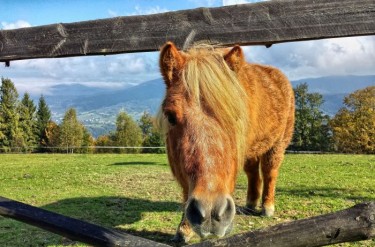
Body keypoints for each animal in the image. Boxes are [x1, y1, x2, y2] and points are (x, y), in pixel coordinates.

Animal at [157, 42, 296, 241]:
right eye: (170, 116)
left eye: (235, 114)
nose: (210, 211)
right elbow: (186, 191)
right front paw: (184, 229)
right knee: (253, 172)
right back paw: (251, 203)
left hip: (277, 144)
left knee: (269, 172)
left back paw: (267, 207)